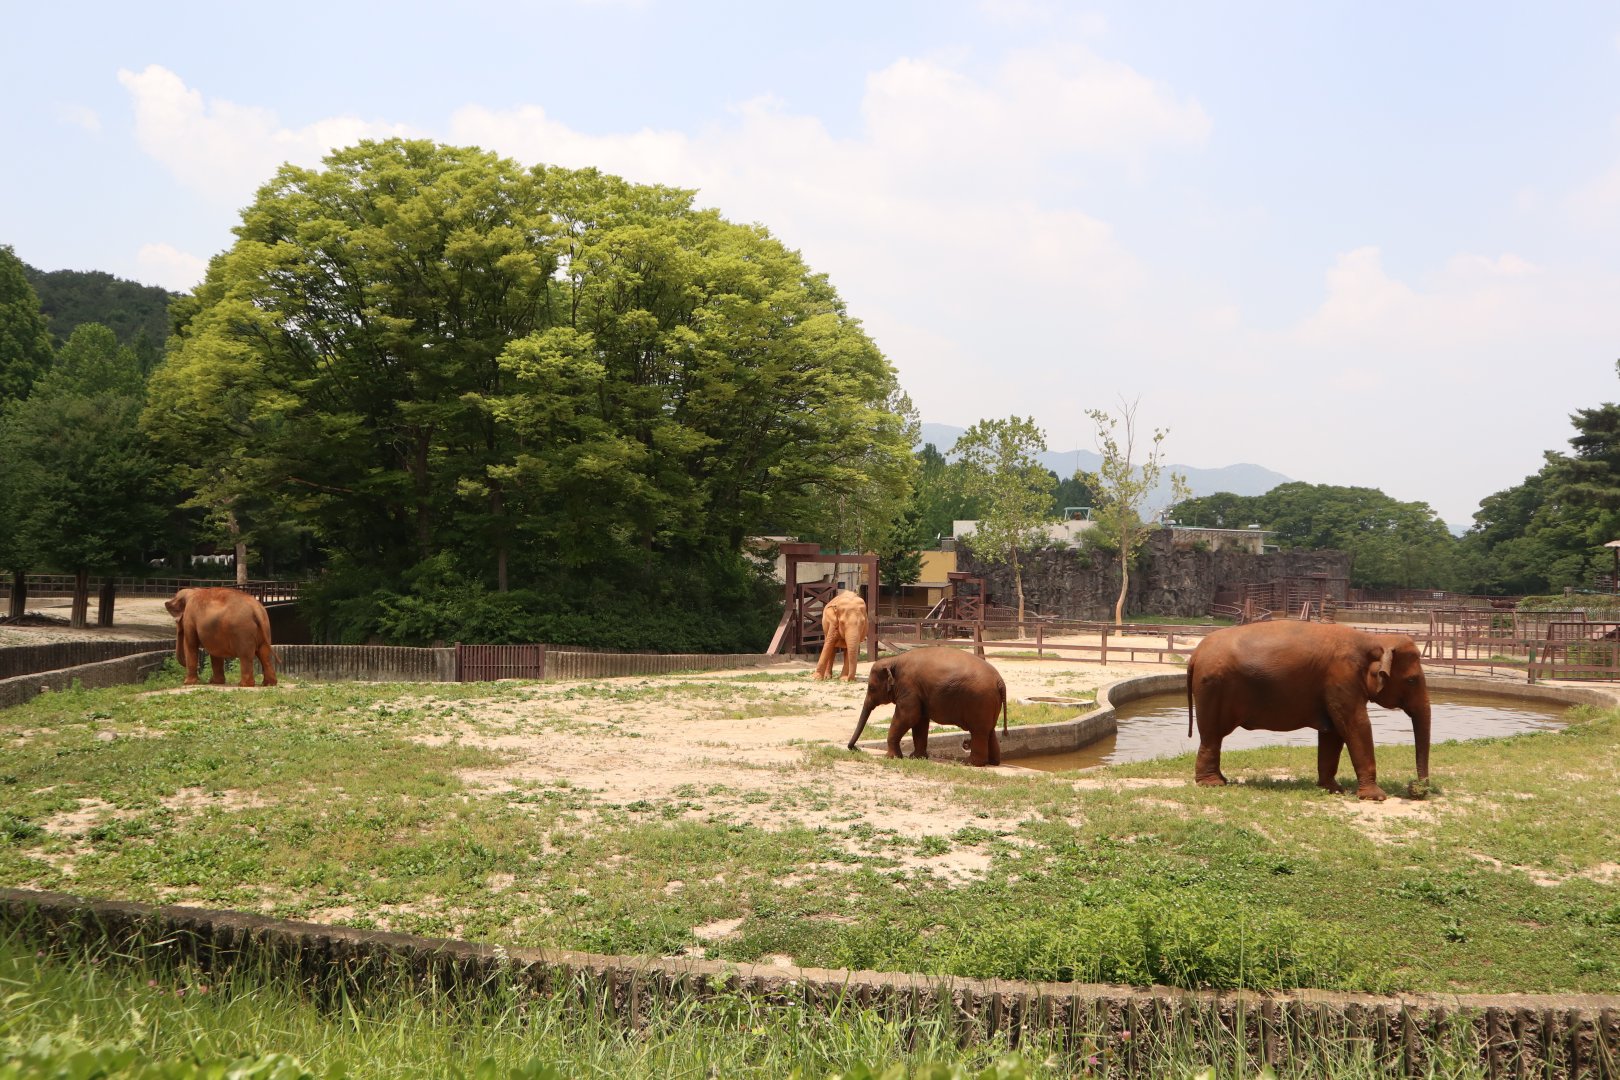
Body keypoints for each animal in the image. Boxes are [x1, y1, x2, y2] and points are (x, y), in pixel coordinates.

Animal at [846, 647, 1008, 765]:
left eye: (871, 688)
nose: (854, 748)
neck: (893, 660)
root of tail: (1000, 682)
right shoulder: (918, 693)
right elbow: (919, 722)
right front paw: (916, 757)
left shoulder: (908, 687)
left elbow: (907, 717)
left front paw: (891, 758)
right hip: (989, 703)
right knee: (989, 730)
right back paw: (993, 762)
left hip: (980, 701)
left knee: (979, 732)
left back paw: (969, 763)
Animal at [1185, 620, 1430, 801]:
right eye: (1411, 680)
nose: (1416, 789)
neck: (1373, 639)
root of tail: (1195, 654)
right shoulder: (1342, 677)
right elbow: (1355, 724)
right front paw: (1376, 797)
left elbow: (1333, 732)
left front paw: (1332, 789)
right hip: (1213, 686)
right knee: (1212, 735)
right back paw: (1213, 784)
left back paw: (1221, 780)